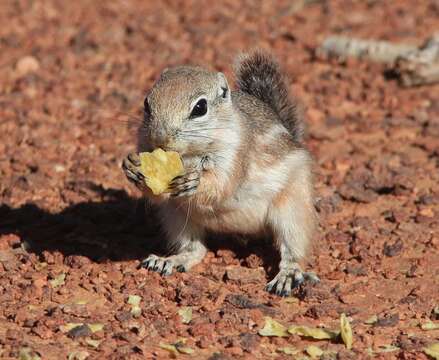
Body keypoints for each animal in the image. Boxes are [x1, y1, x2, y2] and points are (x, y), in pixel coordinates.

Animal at [123, 52, 320, 296]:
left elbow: (221, 186)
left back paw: (288, 275)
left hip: (293, 209)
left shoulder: (235, 155)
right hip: (176, 217)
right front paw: (132, 167)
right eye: (146, 103)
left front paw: (194, 182)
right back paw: (169, 260)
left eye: (200, 108)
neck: (189, 156)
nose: (160, 138)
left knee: (294, 251)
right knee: (195, 249)